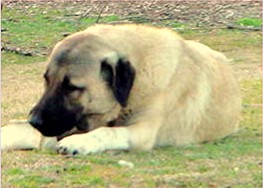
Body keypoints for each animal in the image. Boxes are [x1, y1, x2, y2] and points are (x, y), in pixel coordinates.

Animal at [1, 23, 242, 156]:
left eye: (72, 87)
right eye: (46, 80)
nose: (34, 121)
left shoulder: (142, 132)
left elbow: (108, 132)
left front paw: (78, 142)